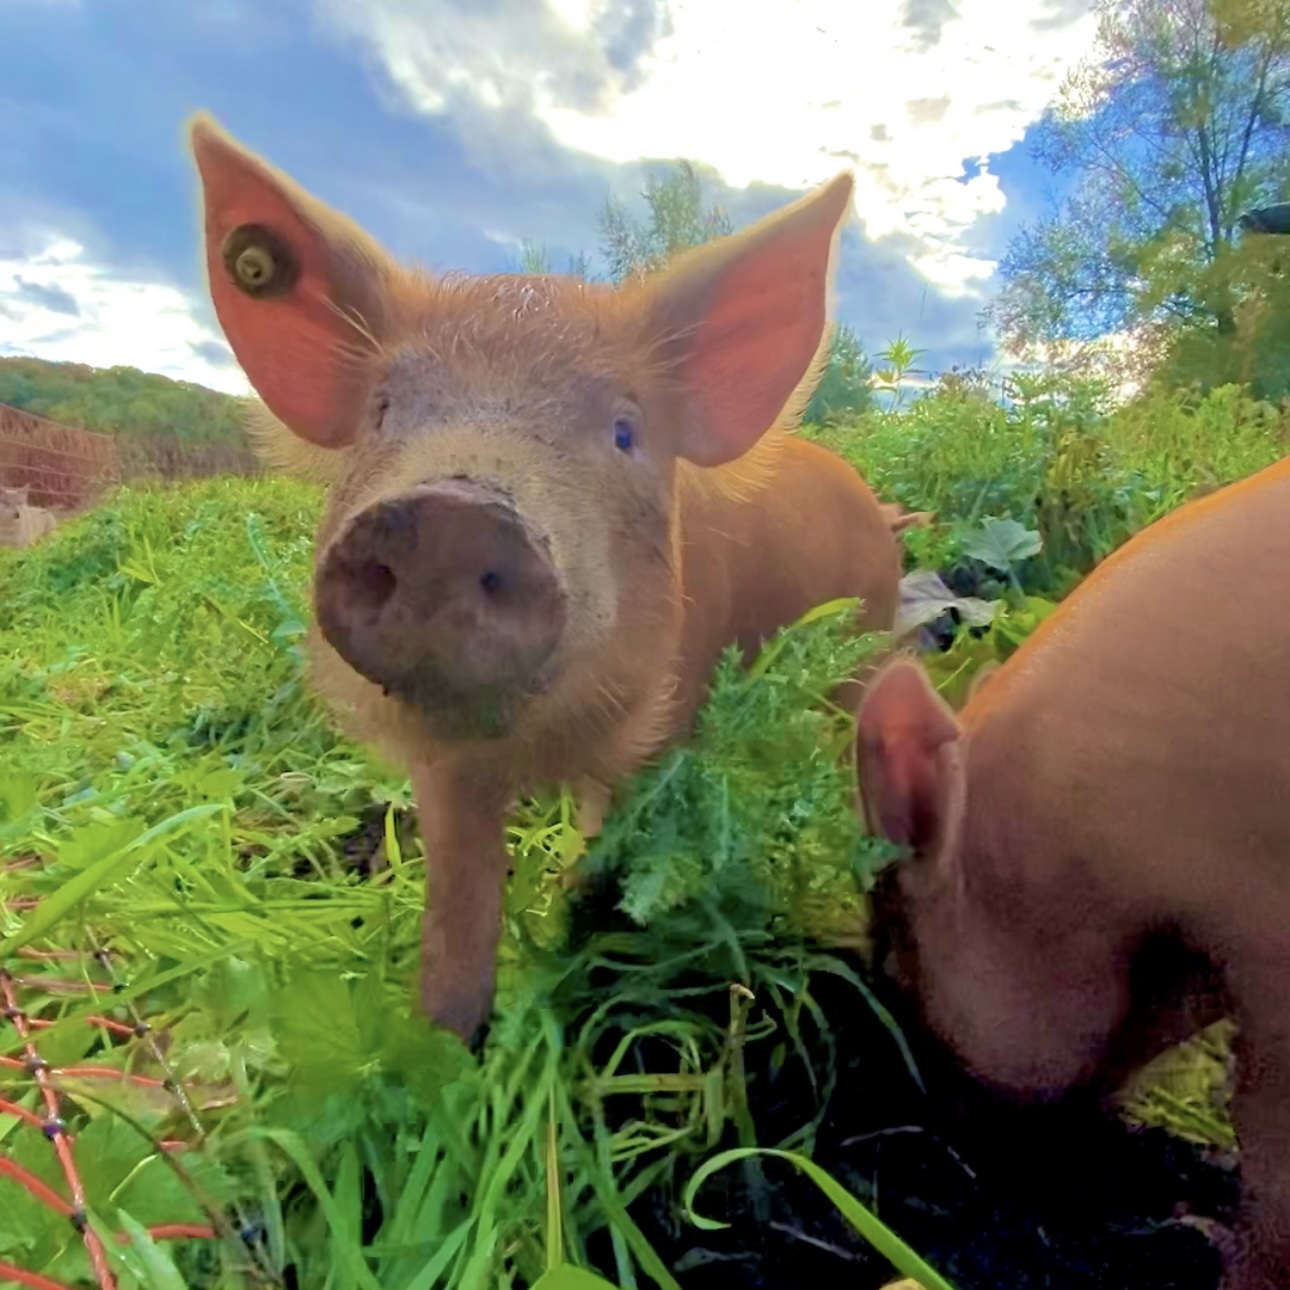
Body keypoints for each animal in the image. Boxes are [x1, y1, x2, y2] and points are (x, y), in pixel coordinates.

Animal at [187, 108, 903, 1037]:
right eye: (383, 410)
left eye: (626, 432)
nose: (450, 512)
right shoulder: (446, 769)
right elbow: (459, 902)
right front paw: (445, 1039)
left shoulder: (662, 720)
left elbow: (609, 861)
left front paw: (580, 957)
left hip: (869, 648)